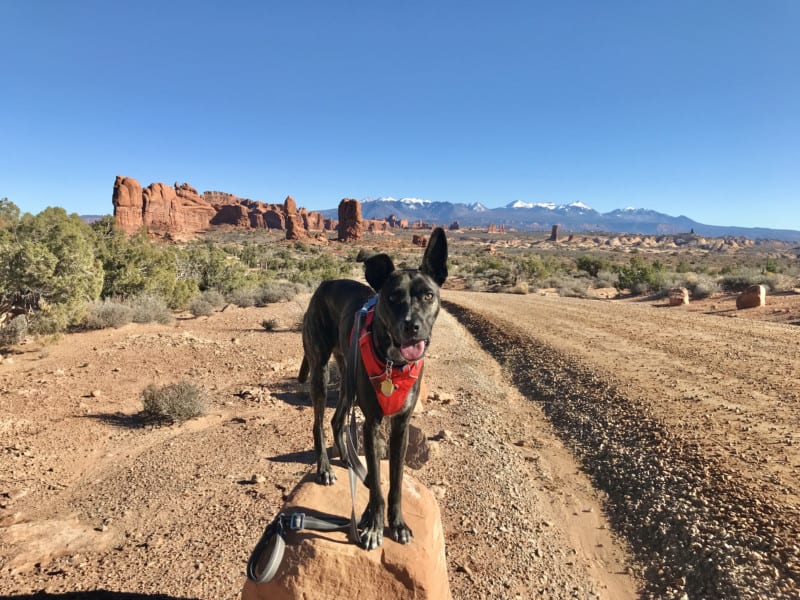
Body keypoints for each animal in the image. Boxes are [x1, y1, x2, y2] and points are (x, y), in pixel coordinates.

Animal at [300, 226, 450, 548]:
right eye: (392, 297)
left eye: (428, 295)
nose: (412, 326)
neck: (394, 364)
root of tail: (324, 284)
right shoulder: (372, 423)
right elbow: (380, 491)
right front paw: (373, 525)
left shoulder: (401, 425)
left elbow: (394, 482)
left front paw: (398, 524)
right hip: (320, 371)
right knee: (318, 423)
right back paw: (325, 468)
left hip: (348, 377)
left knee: (337, 419)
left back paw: (350, 461)